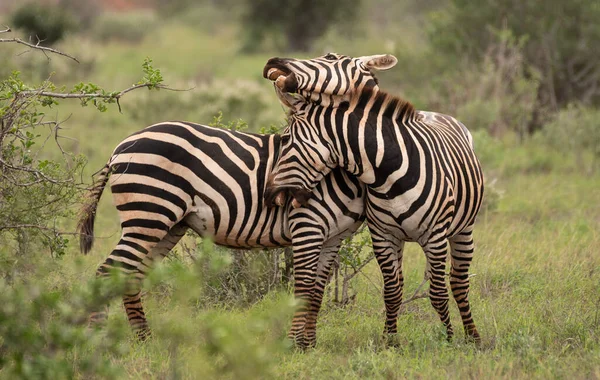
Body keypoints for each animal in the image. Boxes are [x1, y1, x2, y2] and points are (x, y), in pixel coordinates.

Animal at [77, 120, 364, 346]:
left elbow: (316, 292)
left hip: (165, 225)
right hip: (148, 214)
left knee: (130, 275)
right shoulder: (307, 224)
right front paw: (296, 346)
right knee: (107, 272)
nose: (281, 194)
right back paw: (95, 342)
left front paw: (310, 345)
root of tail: (120, 148)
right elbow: (305, 288)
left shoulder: (333, 238)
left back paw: (144, 339)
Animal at [262, 53, 482, 344]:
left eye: (285, 140)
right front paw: (390, 341)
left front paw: (448, 339)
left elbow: (437, 293)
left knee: (458, 283)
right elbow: (391, 291)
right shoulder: (382, 235)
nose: (271, 63)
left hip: (463, 229)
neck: (387, 171)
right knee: (405, 282)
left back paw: (472, 336)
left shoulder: (435, 236)